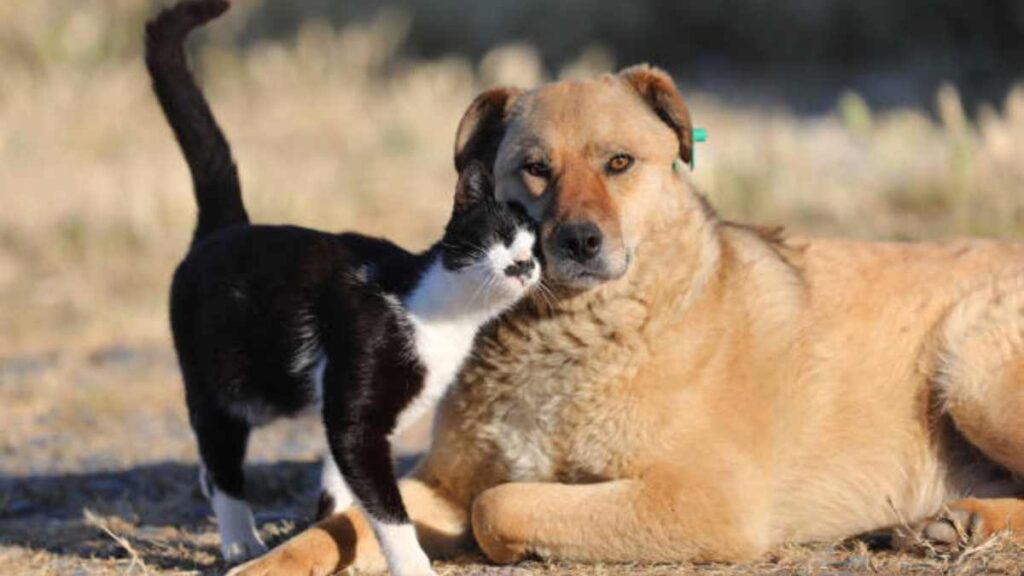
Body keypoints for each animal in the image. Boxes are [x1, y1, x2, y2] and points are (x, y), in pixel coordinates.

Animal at [145, 2, 544, 569]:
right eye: (503, 236)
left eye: (539, 249)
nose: (524, 264)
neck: (446, 316)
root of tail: (225, 227)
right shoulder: (357, 412)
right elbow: (388, 506)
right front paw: (412, 565)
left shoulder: (350, 413)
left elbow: (345, 481)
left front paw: (331, 529)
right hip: (225, 381)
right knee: (219, 452)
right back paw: (239, 539)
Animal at [230, 65, 1024, 569]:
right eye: (535, 168)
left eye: (619, 163)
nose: (579, 242)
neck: (566, 332)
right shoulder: (439, 484)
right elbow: (336, 527)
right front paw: (265, 563)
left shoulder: (705, 502)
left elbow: (501, 504)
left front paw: (513, 545)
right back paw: (956, 520)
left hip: (973, 369)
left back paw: (961, 522)